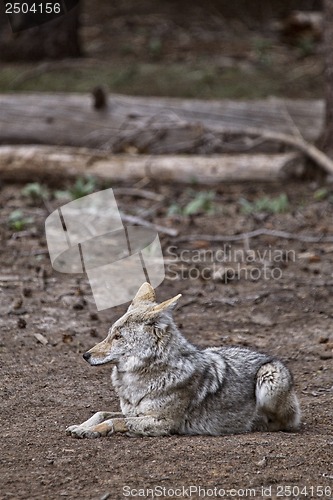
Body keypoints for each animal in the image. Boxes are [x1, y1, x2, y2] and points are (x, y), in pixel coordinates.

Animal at [66, 282, 300, 438]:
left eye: (118, 337)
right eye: (109, 334)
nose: (85, 355)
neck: (136, 383)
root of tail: (269, 356)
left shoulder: (164, 423)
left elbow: (114, 420)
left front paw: (93, 431)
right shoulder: (132, 412)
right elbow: (102, 413)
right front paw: (82, 426)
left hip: (268, 377)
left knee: (283, 424)